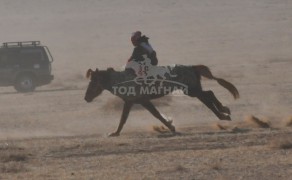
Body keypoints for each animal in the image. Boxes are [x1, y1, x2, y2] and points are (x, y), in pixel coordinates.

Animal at [84, 65, 240, 136]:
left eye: (93, 82)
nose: (86, 98)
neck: (121, 80)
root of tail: (192, 67)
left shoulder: (143, 101)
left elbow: (156, 115)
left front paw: (171, 126)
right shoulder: (130, 102)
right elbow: (123, 119)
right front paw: (115, 133)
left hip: (191, 90)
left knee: (208, 97)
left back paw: (224, 113)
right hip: (193, 90)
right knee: (208, 95)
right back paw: (224, 112)